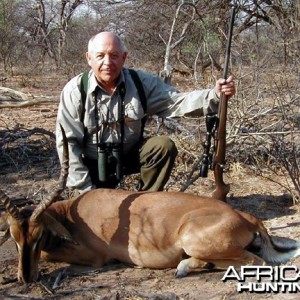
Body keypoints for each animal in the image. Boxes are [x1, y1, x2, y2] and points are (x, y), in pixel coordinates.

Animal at [0, 126, 300, 284]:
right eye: (14, 237)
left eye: (39, 235)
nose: (25, 278)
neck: (72, 214)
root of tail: (247, 218)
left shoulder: (94, 256)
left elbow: (49, 254)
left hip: (195, 240)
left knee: (256, 261)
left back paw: (184, 268)